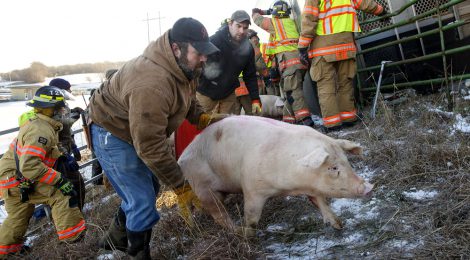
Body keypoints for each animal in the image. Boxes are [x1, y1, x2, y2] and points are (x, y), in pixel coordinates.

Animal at [178, 116, 372, 236]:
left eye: (347, 161)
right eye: (333, 167)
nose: (369, 187)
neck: (292, 186)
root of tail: (183, 156)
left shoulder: (311, 186)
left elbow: (319, 201)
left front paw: (339, 225)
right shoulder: (251, 188)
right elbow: (252, 217)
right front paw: (249, 234)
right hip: (203, 187)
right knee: (218, 214)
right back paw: (237, 232)